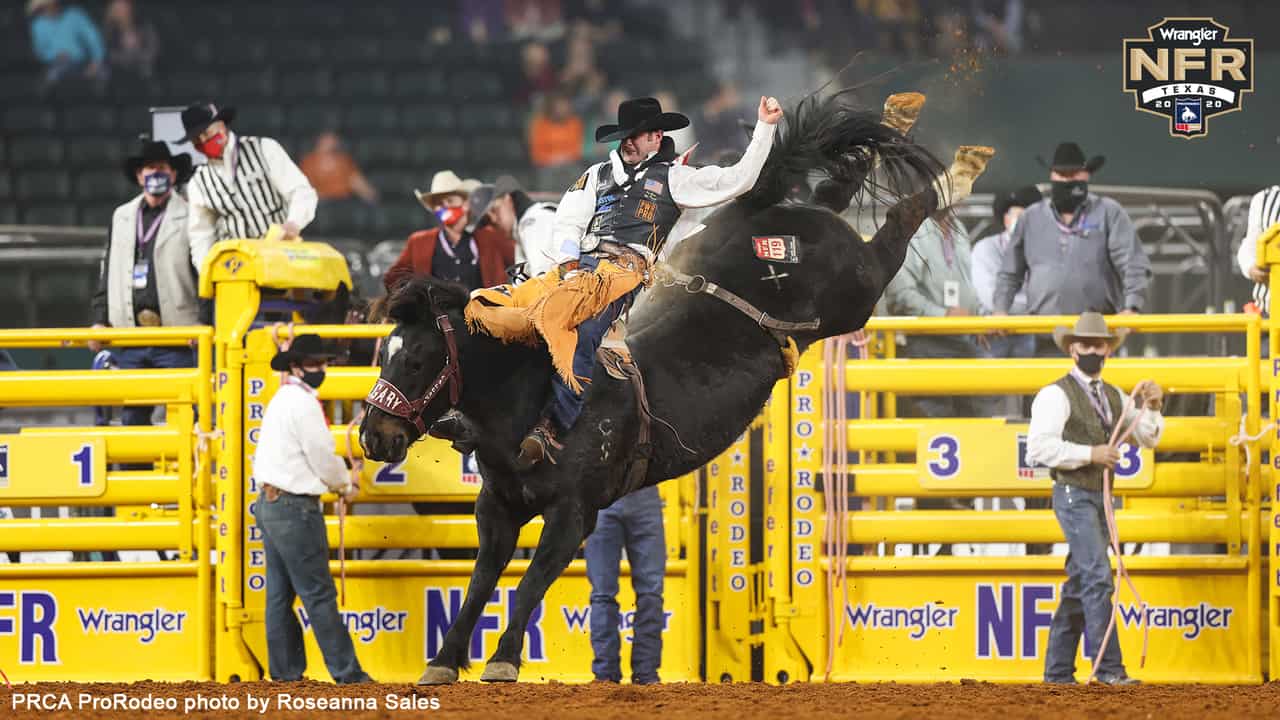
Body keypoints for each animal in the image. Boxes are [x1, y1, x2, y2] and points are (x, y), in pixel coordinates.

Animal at [360, 88, 952, 676]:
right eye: (384, 356)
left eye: (418, 360)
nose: (373, 436)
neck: (526, 405)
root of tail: (759, 212)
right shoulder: (497, 508)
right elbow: (480, 584)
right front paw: (444, 661)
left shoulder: (574, 514)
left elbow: (528, 586)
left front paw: (502, 661)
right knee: (828, 186)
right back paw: (872, 148)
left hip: (857, 289)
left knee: (894, 225)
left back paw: (936, 180)